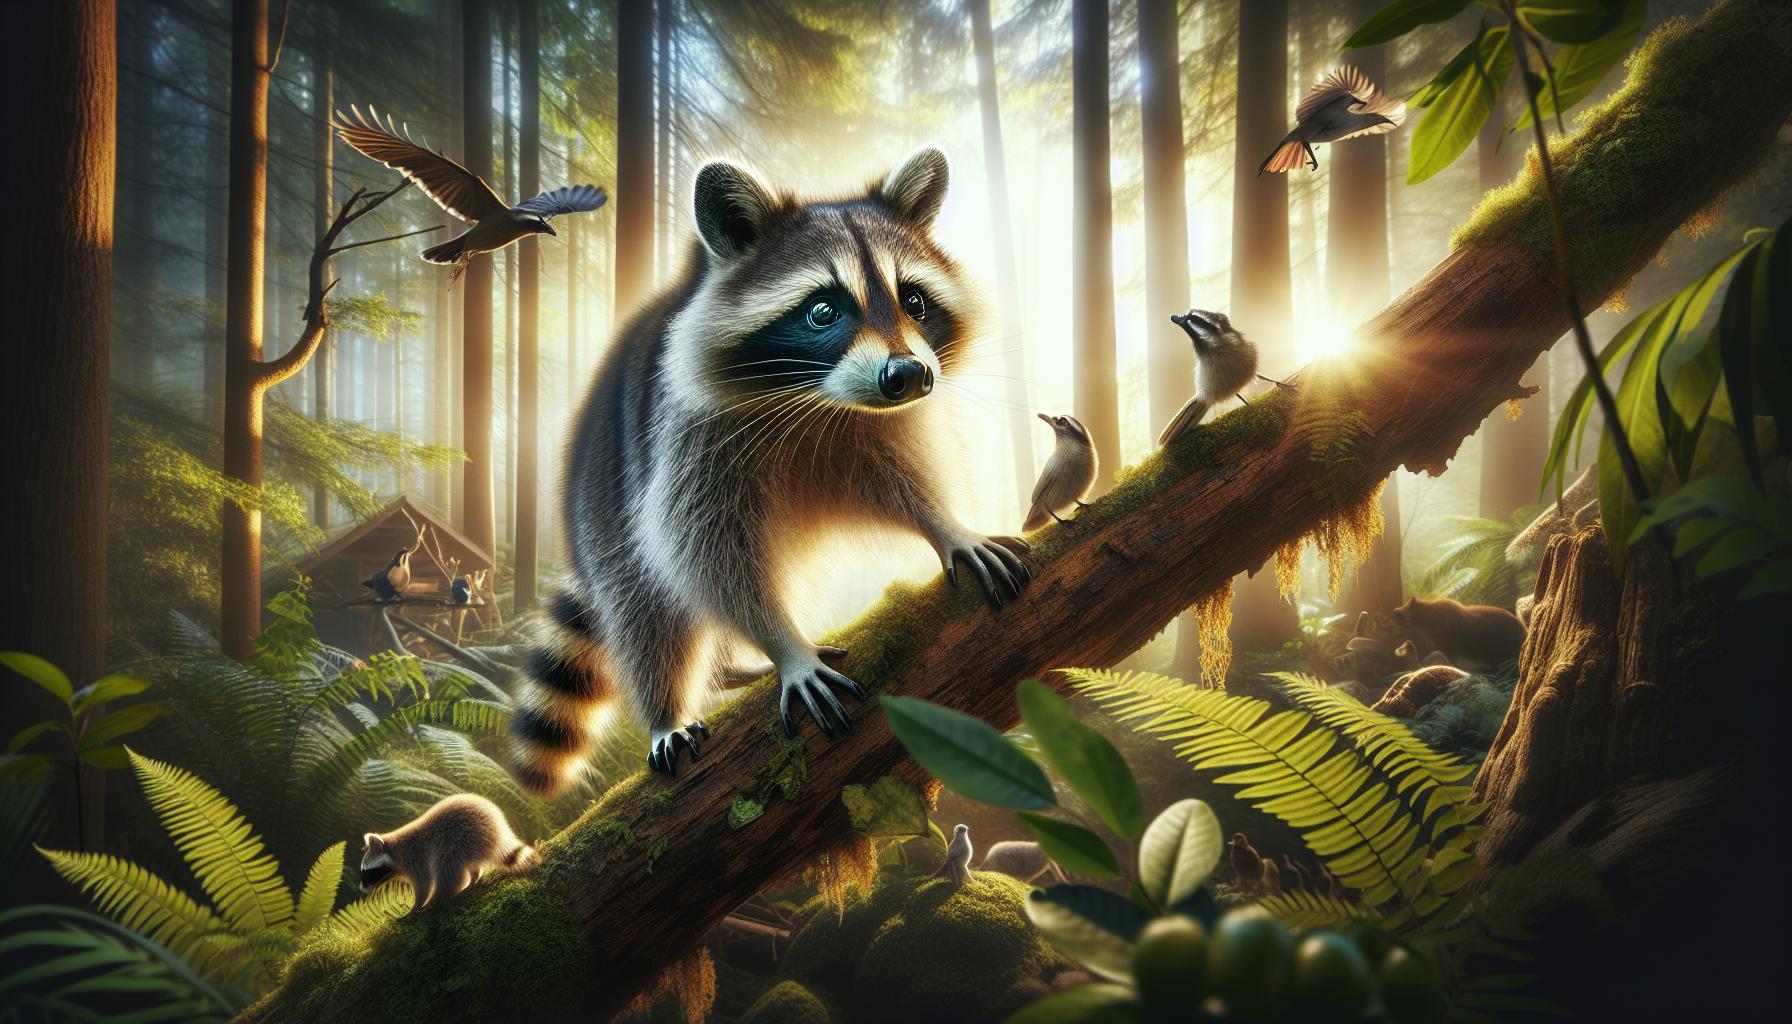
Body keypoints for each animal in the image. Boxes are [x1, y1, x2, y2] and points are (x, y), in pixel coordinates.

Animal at [359, 794, 535, 912]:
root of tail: (498, 829)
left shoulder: (415, 858)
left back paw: (440, 897)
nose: (361, 888)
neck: (394, 851)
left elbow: (424, 884)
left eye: (369, 872)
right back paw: (473, 878)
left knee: (445, 866)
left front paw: (418, 905)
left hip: (458, 838)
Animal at [510, 147, 1031, 790]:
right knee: (644, 611)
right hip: (601, 508)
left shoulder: (886, 424)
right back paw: (668, 707)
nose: (909, 375)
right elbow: (704, 557)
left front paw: (948, 527)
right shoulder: (686, 442)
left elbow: (904, 479)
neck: (816, 400)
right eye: (823, 310)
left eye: (914, 301)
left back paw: (730, 669)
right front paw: (786, 647)